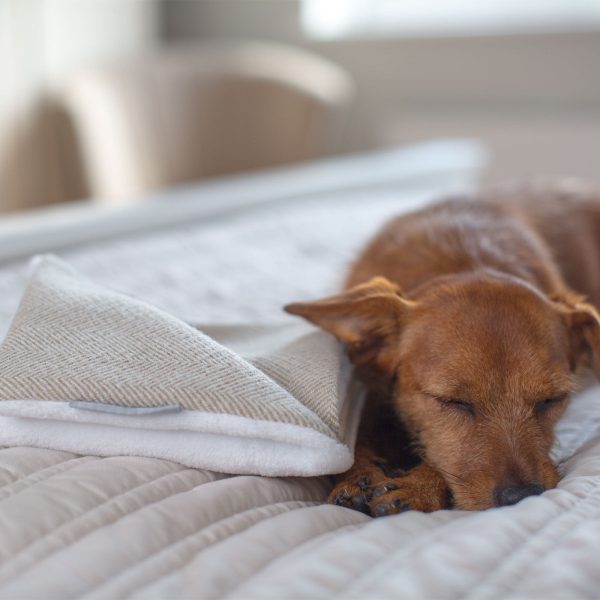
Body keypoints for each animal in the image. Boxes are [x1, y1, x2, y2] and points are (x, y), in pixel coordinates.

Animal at [284, 184, 600, 516]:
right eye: (453, 401)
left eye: (552, 400)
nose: (522, 495)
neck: (467, 260)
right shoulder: (369, 389)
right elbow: (357, 437)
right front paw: (357, 475)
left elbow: (438, 457)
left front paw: (419, 486)